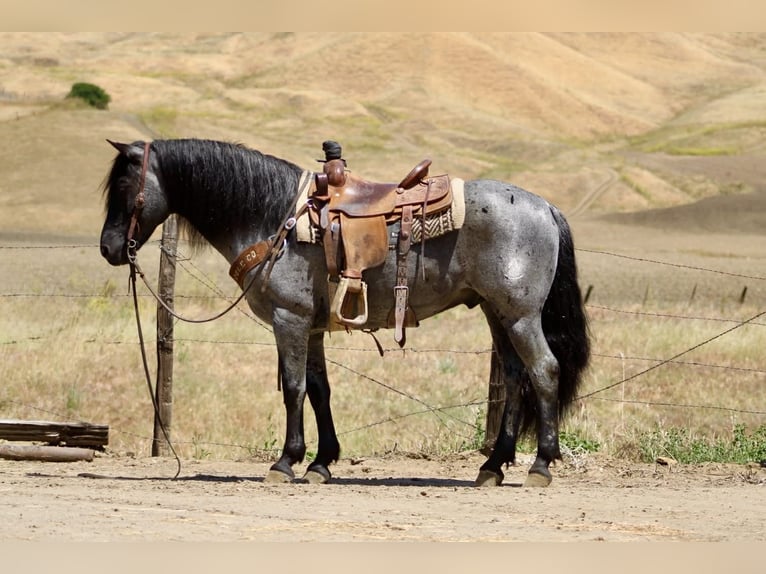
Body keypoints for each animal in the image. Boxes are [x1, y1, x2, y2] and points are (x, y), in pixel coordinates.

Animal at [99, 138, 590, 487]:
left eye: (124, 187)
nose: (108, 248)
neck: (273, 216)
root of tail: (546, 207)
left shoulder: (289, 319)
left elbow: (294, 389)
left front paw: (285, 461)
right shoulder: (311, 326)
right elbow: (320, 390)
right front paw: (321, 462)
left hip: (520, 315)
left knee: (544, 371)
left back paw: (541, 465)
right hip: (496, 312)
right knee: (515, 377)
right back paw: (493, 466)